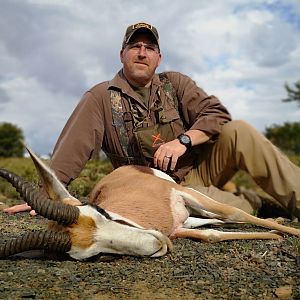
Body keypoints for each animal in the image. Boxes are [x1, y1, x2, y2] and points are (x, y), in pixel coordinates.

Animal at [0, 146, 298, 260]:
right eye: (96, 255)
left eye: (100, 212)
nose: (156, 244)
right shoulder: (176, 229)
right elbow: (212, 235)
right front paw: (274, 235)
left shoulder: (181, 192)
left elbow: (234, 212)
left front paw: (289, 233)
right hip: (189, 216)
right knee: (213, 222)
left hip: (192, 196)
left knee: (228, 214)